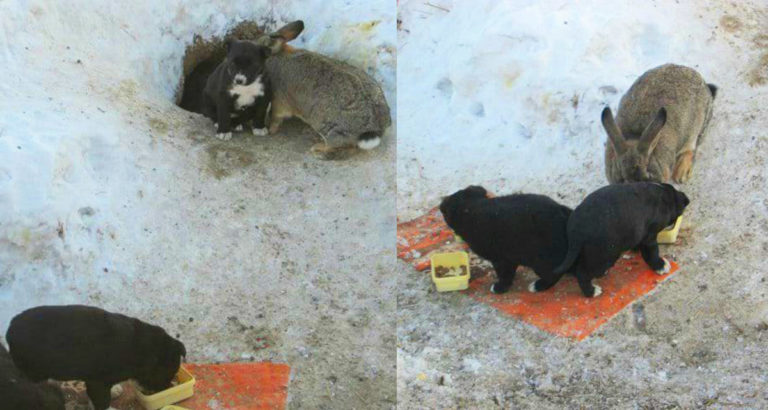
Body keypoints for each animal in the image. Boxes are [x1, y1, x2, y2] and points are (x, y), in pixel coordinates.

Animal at [253, 21, 391, 159]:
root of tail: (375, 129)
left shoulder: (279, 100)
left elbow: (275, 116)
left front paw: (270, 130)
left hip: (328, 127)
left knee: (345, 147)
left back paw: (318, 149)